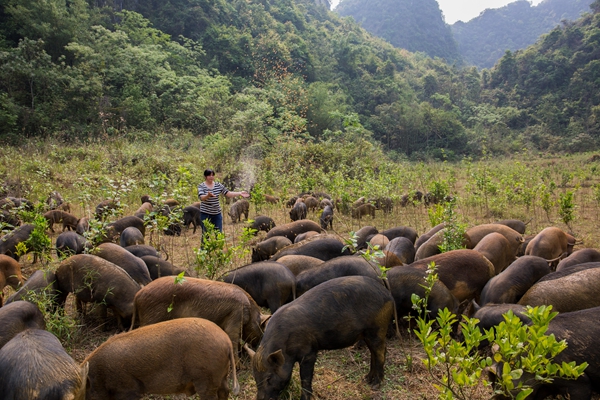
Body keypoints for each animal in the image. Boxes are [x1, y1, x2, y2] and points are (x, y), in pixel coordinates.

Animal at [84, 318, 239, 400]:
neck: (100, 375)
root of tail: (226, 341)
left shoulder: (128, 388)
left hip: (206, 377)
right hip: (220, 375)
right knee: (225, 390)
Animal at [248, 276, 394, 400]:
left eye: (269, 378)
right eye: (255, 377)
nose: (259, 398)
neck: (285, 345)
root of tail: (387, 294)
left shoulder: (309, 352)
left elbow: (305, 377)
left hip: (377, 329)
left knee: (381, 353)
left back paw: (375, 385)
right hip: (369, 334)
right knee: (374, 354)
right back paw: (366, 379)